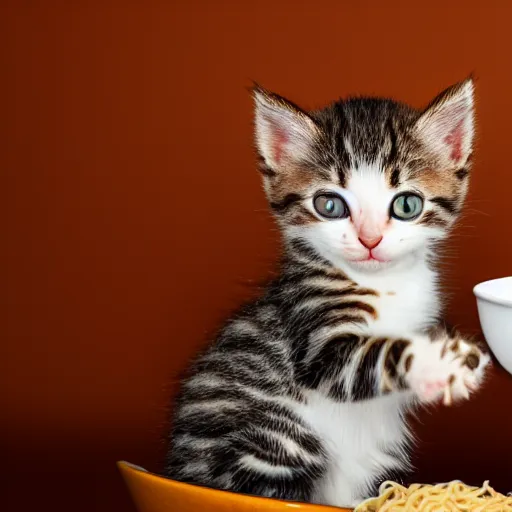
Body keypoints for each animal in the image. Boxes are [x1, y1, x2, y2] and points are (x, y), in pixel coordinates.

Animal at [165, 79, 492, 508]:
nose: (370, 239)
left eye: (407, 204)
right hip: (276, 439)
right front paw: (442, 361)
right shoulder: (315, 336)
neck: (384, 283)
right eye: (329, 205)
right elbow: (375, 354)